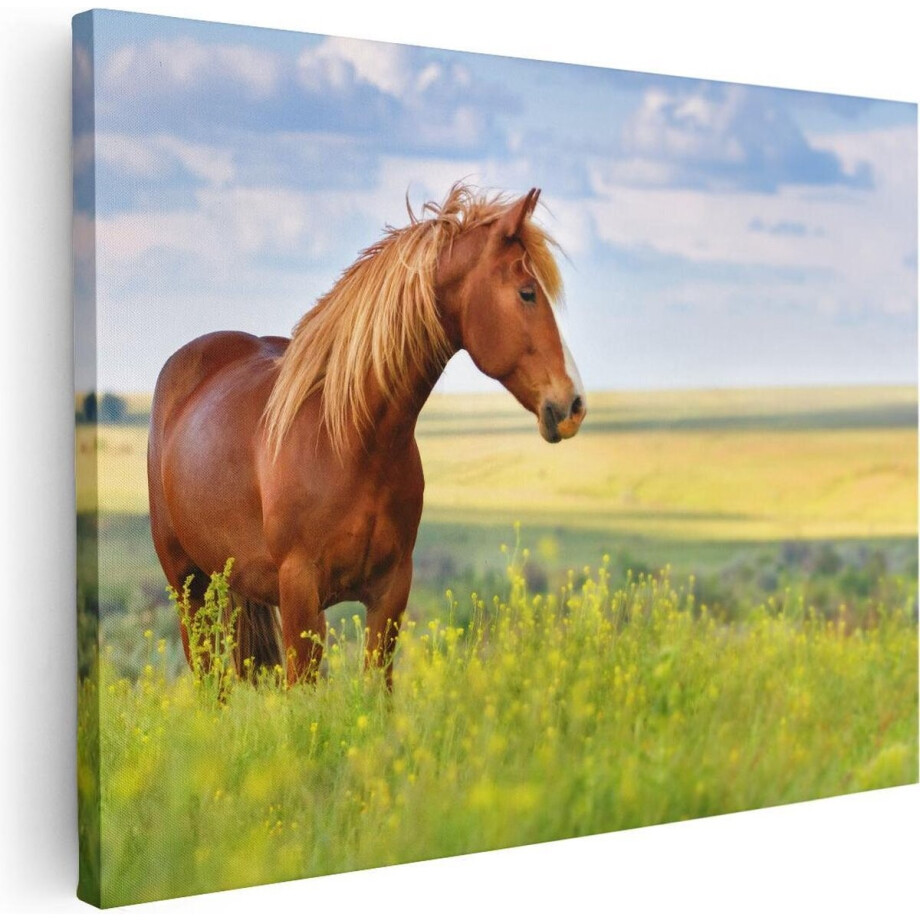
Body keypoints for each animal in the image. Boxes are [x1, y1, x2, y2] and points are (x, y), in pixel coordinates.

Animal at [147, 183, 586, 688]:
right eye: (527, 293)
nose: (573, 405)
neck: (350, 442)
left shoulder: (390, 593)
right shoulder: (300, 593)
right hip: (189, 588)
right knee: (208, 680)